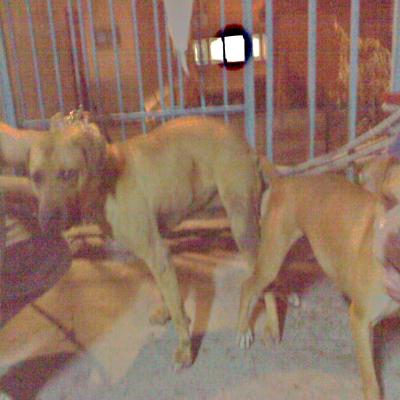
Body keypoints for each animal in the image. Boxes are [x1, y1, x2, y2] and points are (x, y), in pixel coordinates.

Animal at [2, 115, 262, 369]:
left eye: (68, 173)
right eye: (36, 177)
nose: (46, 221)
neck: (107, 180)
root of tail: (245, 144)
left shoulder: (157, 253)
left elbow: (178, 312)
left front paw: (185, 349)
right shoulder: (156, 255)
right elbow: (168, 294)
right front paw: (169, 312)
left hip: (242, 226)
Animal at [236, 160, 400, 400]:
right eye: (388, 200)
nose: (392, 244)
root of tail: (281, 181)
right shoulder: (360, 320)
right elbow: (372, 383)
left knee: (270, 284)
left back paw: (277, 317)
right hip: (272, 256)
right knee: (248, 286)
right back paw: (244, 330)